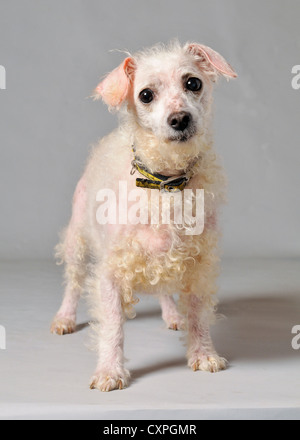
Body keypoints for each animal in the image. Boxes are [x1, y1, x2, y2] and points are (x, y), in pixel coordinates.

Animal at [50, 41, 236, 392]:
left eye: (193, 83)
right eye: (146, 95)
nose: (180, 118)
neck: (165, 184)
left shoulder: (199, 266)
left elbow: (198, 315)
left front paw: (203, 354)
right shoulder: (110, 272)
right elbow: (112, 326)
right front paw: (110, 371)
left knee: (163, 288)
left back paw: (173, 316)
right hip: (77, 243)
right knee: (73, 282)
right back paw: (64, 317)